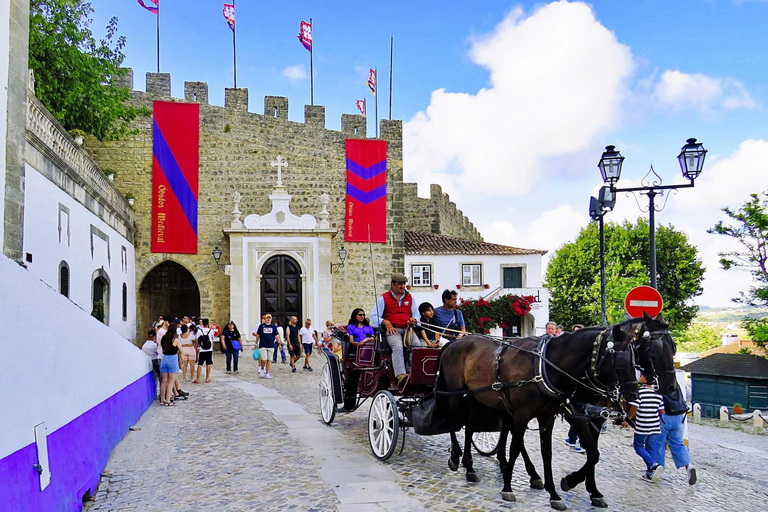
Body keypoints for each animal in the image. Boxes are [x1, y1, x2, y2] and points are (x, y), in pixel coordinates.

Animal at [438, 314, 680, 510]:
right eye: (654, 349)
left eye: (673, 347)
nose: (670, 388)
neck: (550, 366)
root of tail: (455, 342)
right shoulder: (567, 414)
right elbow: (520, 447)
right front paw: (509, 488)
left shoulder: (567, 416)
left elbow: (572, 453)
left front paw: (566, 491)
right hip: (457, 394)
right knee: (455, 422)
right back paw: (459, 459)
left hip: (487, 400)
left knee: (480, 427)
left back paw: (508, 469)